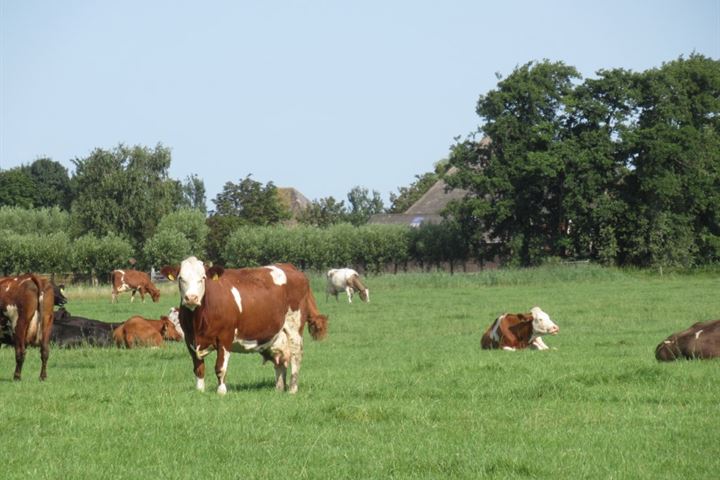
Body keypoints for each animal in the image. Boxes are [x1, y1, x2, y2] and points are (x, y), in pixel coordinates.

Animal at [162, 256, 328, 396]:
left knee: (295, 356)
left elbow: (220, 367)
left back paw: (292, 389)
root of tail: (290, 267)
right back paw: (279, 388)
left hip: (294, 328)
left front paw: (221, 391)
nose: (191, 298)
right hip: (277, 335)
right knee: (280, 361)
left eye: (202, 278)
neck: (198, 322)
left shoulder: (225, 337)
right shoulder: (190, 340)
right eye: (181, 278)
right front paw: (200, 390)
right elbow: (199, 369)